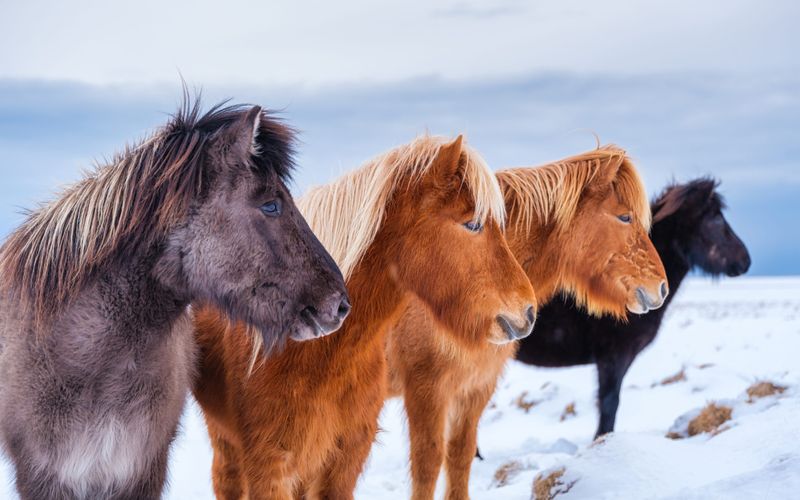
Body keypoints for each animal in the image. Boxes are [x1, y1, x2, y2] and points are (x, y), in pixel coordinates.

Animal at [388, 145, 668, 500]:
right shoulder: (426, 389)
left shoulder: (475, 388)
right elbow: (427, 464)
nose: (661, 287)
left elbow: (460, 457)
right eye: (624, 216)